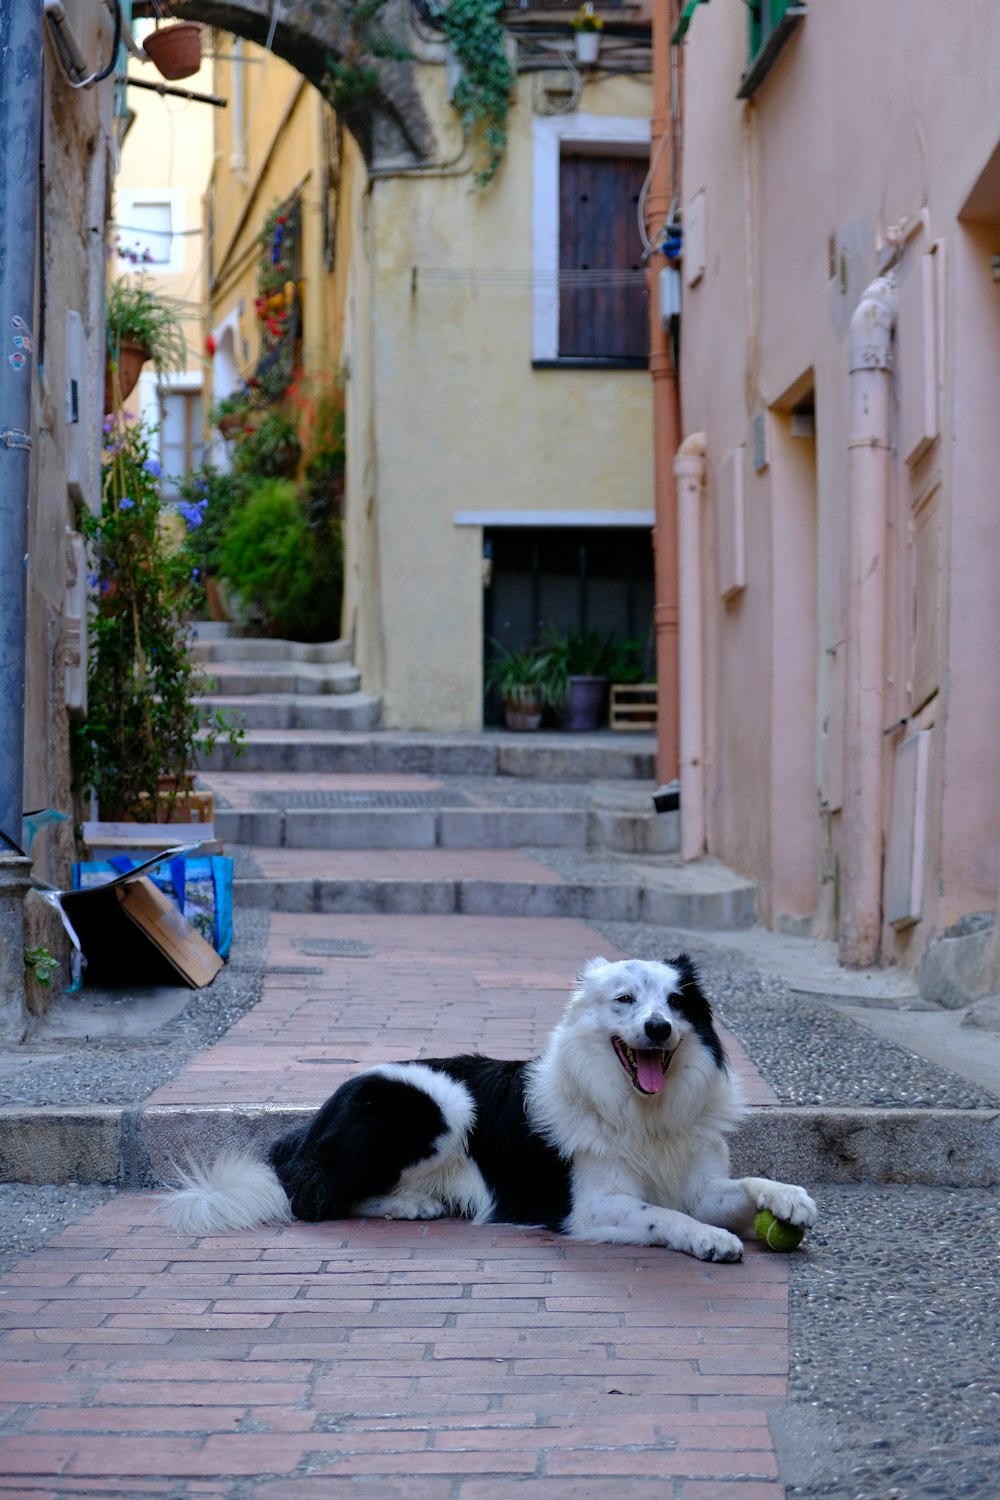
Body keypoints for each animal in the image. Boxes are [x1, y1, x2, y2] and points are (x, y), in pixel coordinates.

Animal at [164, 954, 815, 1260]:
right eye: (626, 1000)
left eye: (677, 1003)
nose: (657, 1028)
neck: (639, 1111)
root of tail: (308, 1129)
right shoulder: (593, 1206)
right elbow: (666, 1217)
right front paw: (709, 1239)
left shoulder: (699, 1183)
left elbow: (743, 1184)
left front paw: (787, 1199)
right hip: (441, 1103)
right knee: (313, 1196)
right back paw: (410, 1205)